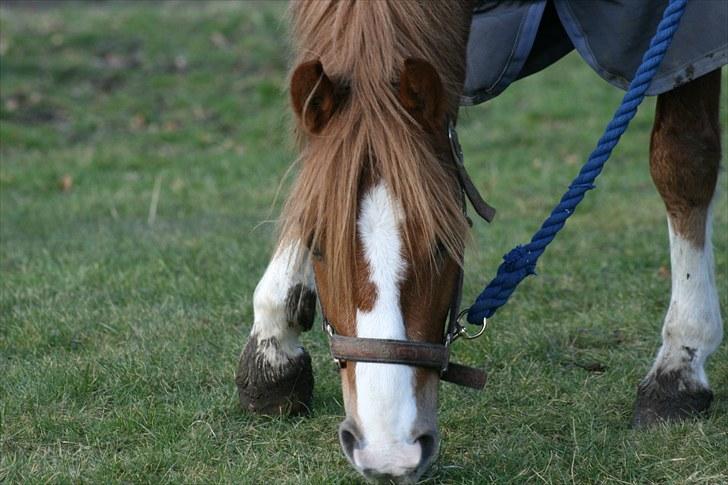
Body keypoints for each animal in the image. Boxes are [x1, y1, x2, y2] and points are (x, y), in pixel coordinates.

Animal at [235, 1, 724, 482]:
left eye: (443, 245)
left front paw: (681, 365)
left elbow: (682, 162)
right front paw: (273, 348)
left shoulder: (682, 35)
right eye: (318, 246)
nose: (389, 453)